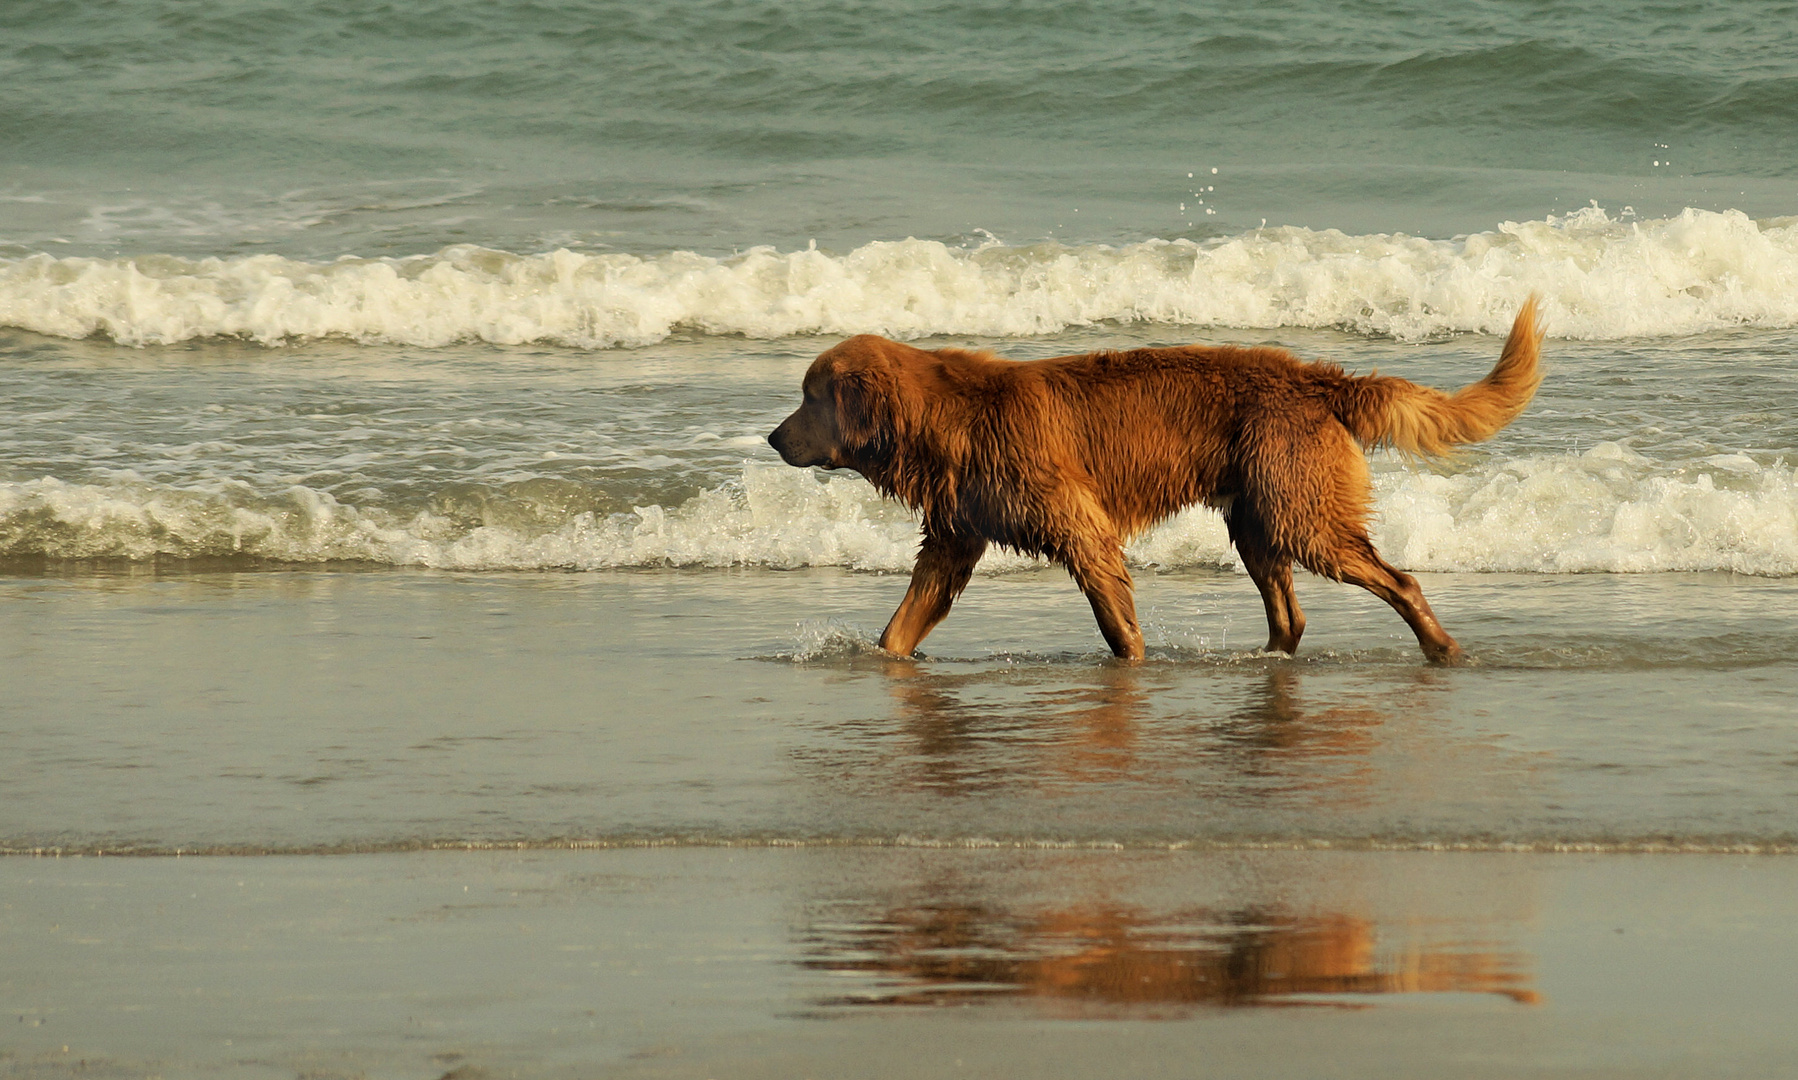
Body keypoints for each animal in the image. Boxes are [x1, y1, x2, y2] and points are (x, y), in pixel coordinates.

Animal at [765, 298, 1539, 661]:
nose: (772, 437)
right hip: (1256, 518)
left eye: (808, 397)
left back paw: (1440, 648)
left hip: (1301, 512)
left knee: (1398, 580)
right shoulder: (955, 540)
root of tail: (1318, 380)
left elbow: (1117, 623)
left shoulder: (1081, 528)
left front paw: (1133, 663)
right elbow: (901, 626)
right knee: (1289, 614)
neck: (948, 416)